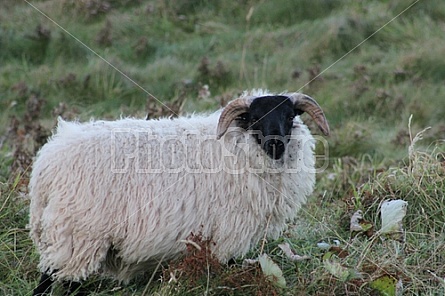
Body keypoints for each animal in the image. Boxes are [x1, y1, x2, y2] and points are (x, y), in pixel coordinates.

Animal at [29, 89, 328, 294]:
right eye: (255, 118)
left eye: (290, 116)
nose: (275, 144)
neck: (238, 147)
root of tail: (47, 163)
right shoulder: (227, 232)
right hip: (77, 233)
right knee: (51, 279)